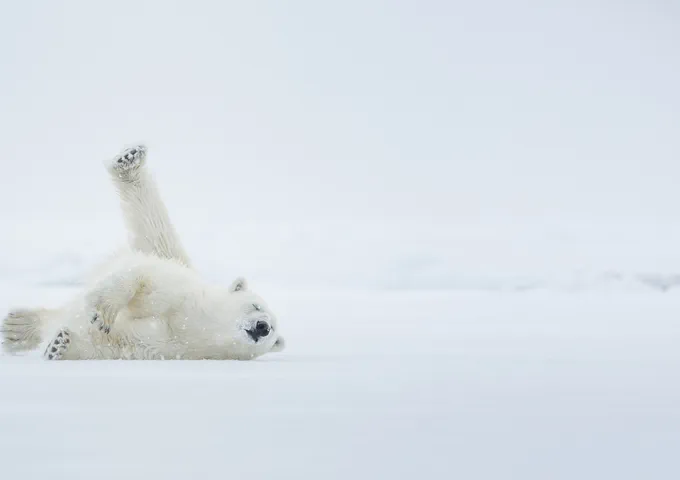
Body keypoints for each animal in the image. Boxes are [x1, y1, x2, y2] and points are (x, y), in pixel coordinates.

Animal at [1, 145, 285, 360]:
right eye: (256, 305)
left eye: (272, 333)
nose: (262, 326)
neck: (194, 323)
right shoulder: (177, 292)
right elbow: (142, 280)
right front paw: (102, 310)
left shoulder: (171, 347)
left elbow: (115, 344)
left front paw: (61, 344)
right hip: (165, 253)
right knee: (152, 222)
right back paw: (129, 161)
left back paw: (16, 329)